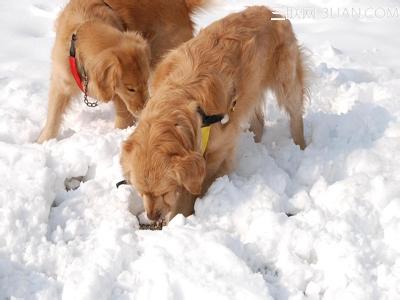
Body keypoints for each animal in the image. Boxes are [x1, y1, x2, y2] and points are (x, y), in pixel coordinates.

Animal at [36, 0, 206, 144]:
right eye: (130, 89)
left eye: (144, 82)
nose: (143, 109)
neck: (85, 25)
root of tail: (183, 5)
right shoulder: (61, 81)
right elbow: (53, 115)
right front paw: (43, 141)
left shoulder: (118, 95)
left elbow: (123, 117)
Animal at [120, 5, 308, 224]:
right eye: (141, 192)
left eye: (164, 192)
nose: (151, 216)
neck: (185, 100)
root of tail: (269, 10)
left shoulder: (218, 148)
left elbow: (197, 186)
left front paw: (183, 213)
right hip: (250, 92)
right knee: (259, 121)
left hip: (286, 81)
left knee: (295, 116)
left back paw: (301, 146)